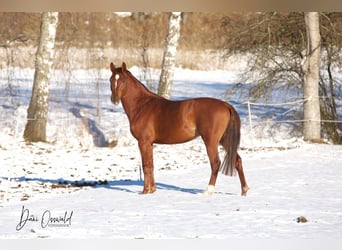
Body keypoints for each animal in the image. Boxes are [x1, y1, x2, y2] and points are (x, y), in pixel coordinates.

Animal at [109, 62, 248, 195]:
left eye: (123, 80)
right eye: (111, 79)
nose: (114, 99)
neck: (142, 106)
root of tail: (226, 105)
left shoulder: (143, 142)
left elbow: (146, 166)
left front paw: (145, 191)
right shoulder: (150, 143)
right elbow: (151, 165)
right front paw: (152, 190)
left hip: (211, 141)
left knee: (215, 163)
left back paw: (208, 191)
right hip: (224, 139)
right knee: (237, 160)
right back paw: (244, 190)